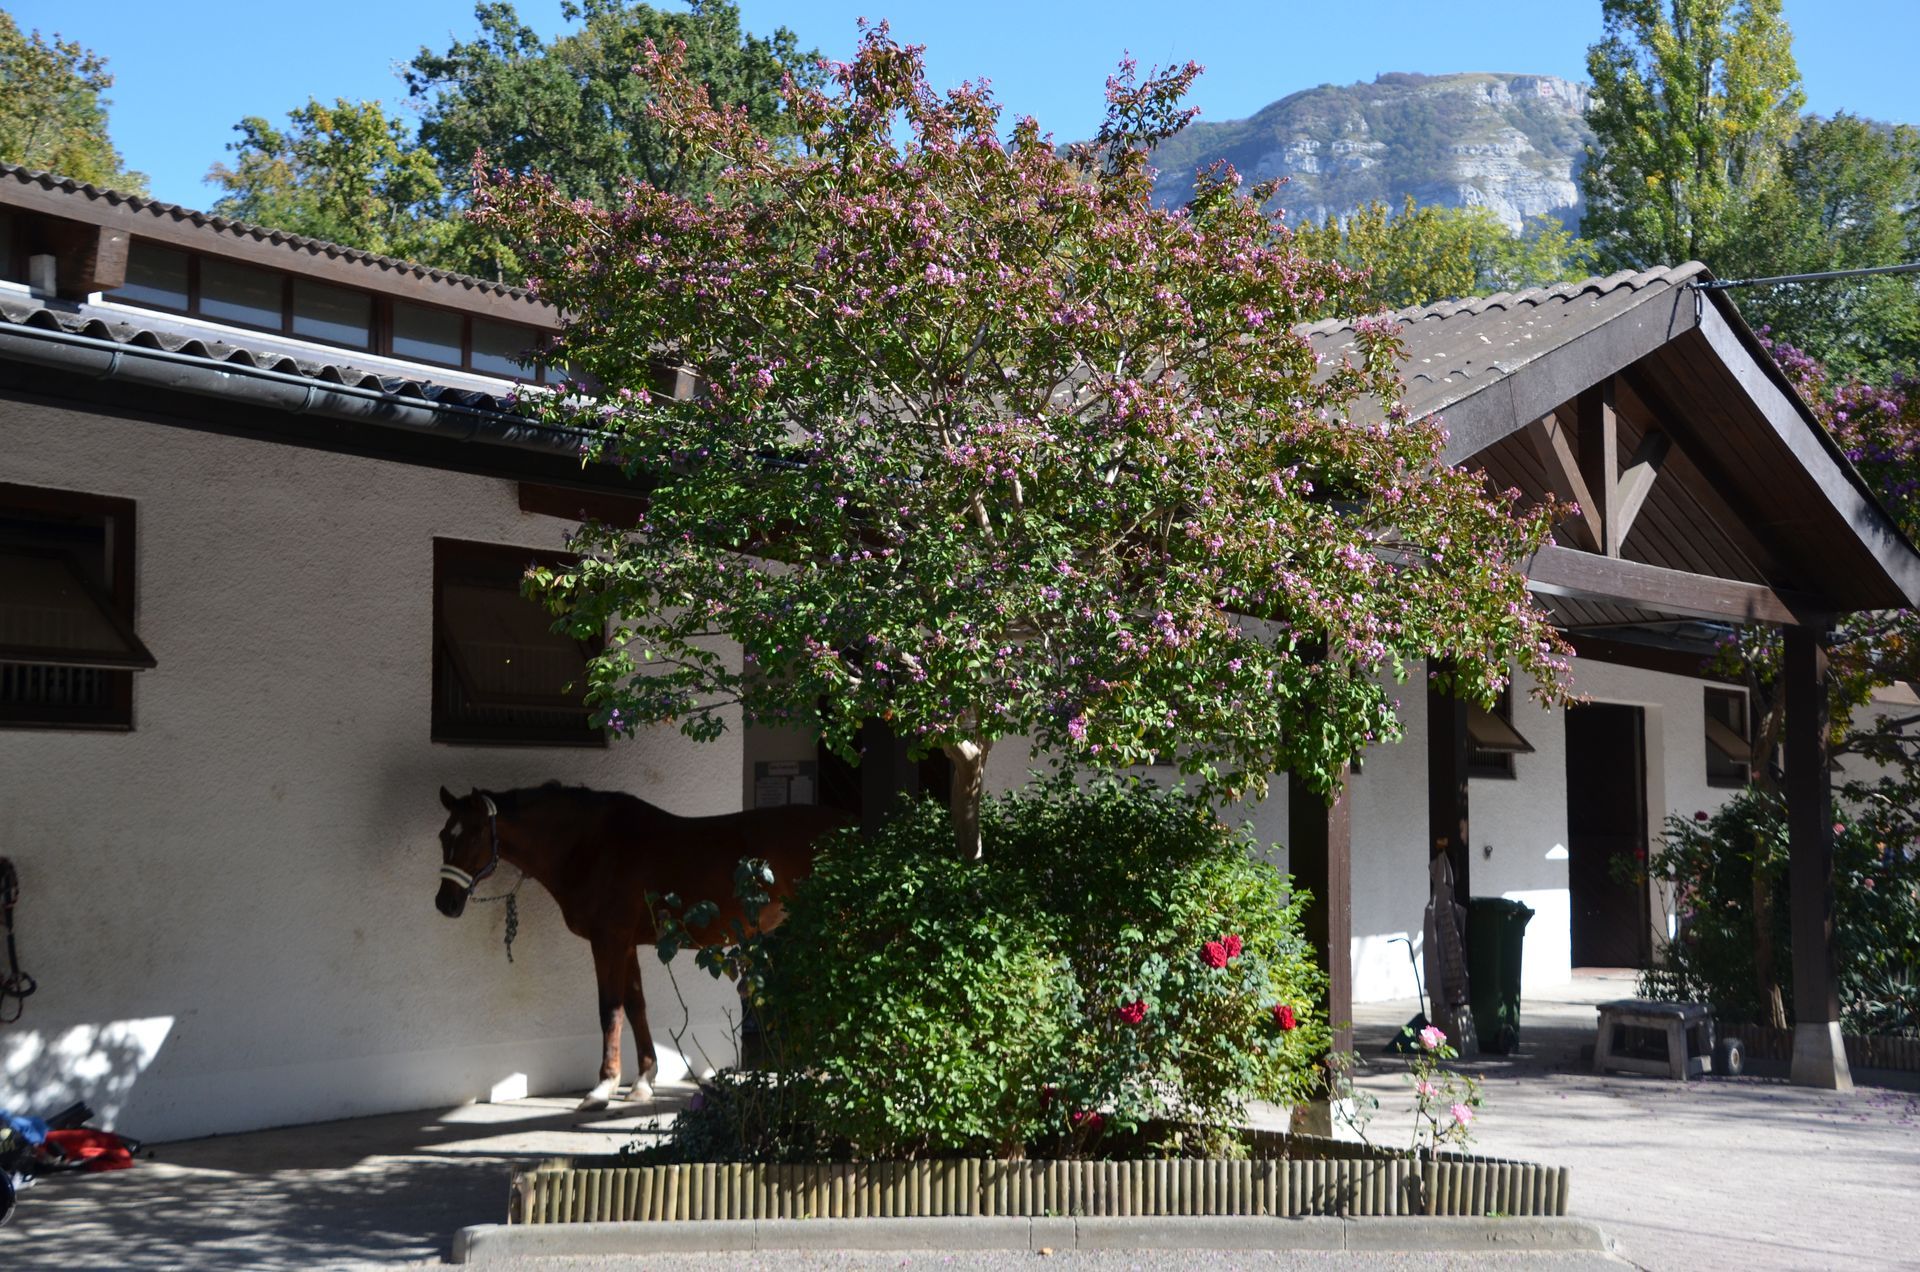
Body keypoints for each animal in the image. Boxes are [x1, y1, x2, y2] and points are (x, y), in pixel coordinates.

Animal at [432, 782, 847, 1109]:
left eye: (473, 836)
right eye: (443, 836)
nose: (445, 903)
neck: (590, 845)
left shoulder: (608, 940)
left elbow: (610, 1011)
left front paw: (602, 1088)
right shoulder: (626, 943)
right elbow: (635, 1006)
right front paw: (644, 1081)